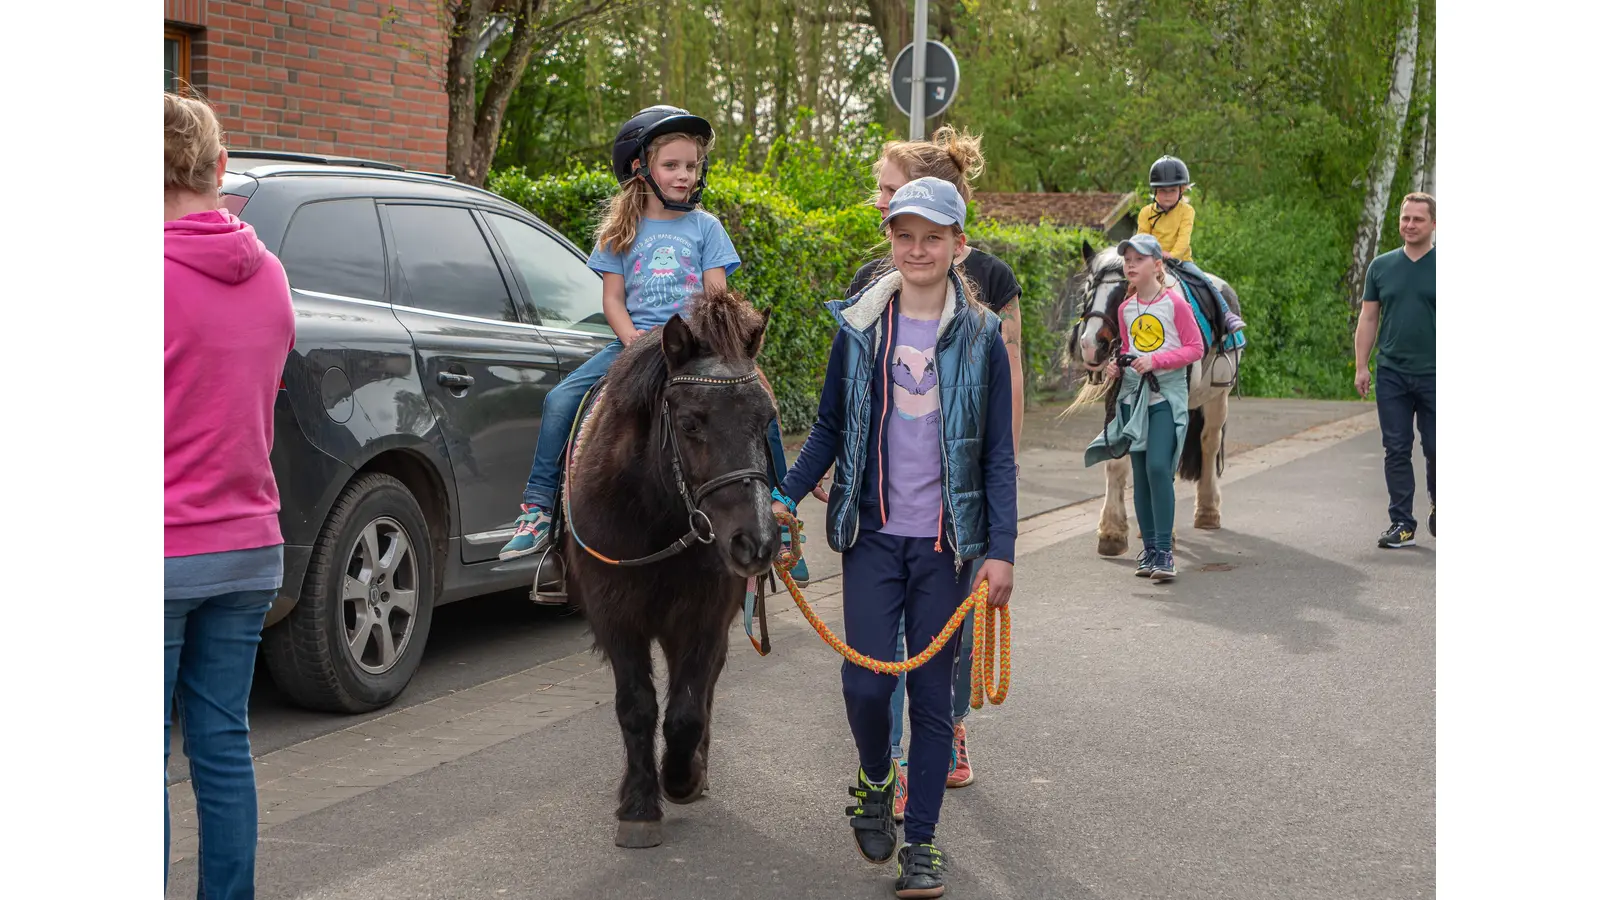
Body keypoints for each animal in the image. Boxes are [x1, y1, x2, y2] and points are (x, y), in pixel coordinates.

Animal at [563, 288, 780, 845]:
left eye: (767, 421)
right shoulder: (617, 617)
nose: (757, 542)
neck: (656, 516)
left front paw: (682, 778)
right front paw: (639, 804)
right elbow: (637, 705)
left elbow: (686, 708)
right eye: (689, 423)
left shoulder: (703, 617)